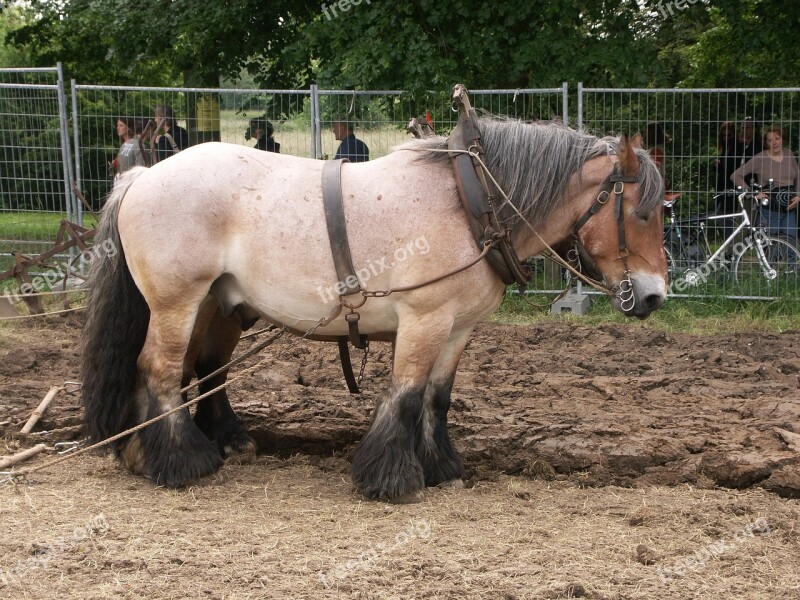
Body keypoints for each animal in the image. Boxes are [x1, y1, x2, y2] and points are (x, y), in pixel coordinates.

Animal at [81, 118, 668, 502]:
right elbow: (406, 395)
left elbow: (436, 399)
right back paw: (181, 461)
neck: (468, 204)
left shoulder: (457, 329)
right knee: (159, 370)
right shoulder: (425, 320)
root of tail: (141, 177)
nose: (655, 295)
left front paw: (440, 465)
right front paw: (391, 477)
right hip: (177, 302)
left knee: (201, 370)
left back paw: (171, 448)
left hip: (215, 305)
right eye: (640, 212)